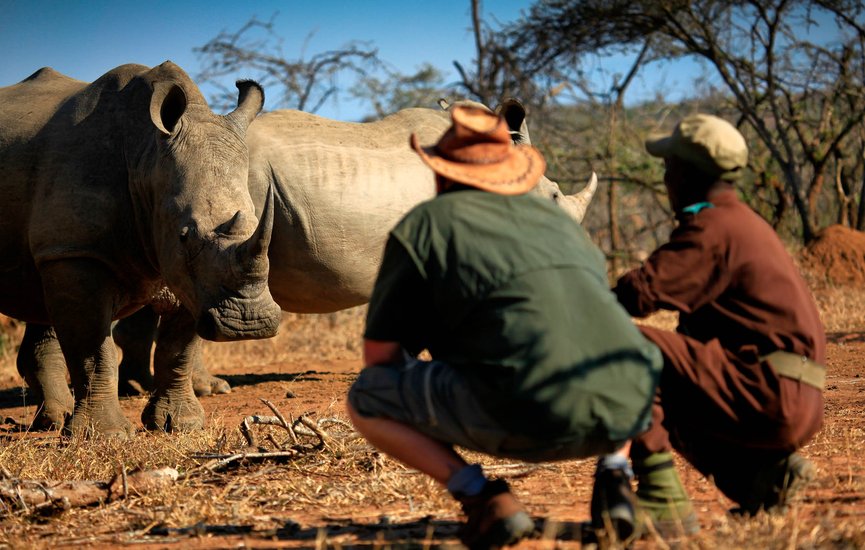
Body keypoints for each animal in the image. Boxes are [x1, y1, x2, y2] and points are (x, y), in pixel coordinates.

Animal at [1, 62, 282, 437]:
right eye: (185, 234)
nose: (249, 324)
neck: (146, 156)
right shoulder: (81, 251)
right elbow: (94, 350)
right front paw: (103, 436)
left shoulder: (185, 272)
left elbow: (178, 348)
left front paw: (179, 425)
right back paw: (58, 423)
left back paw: (52, 422)